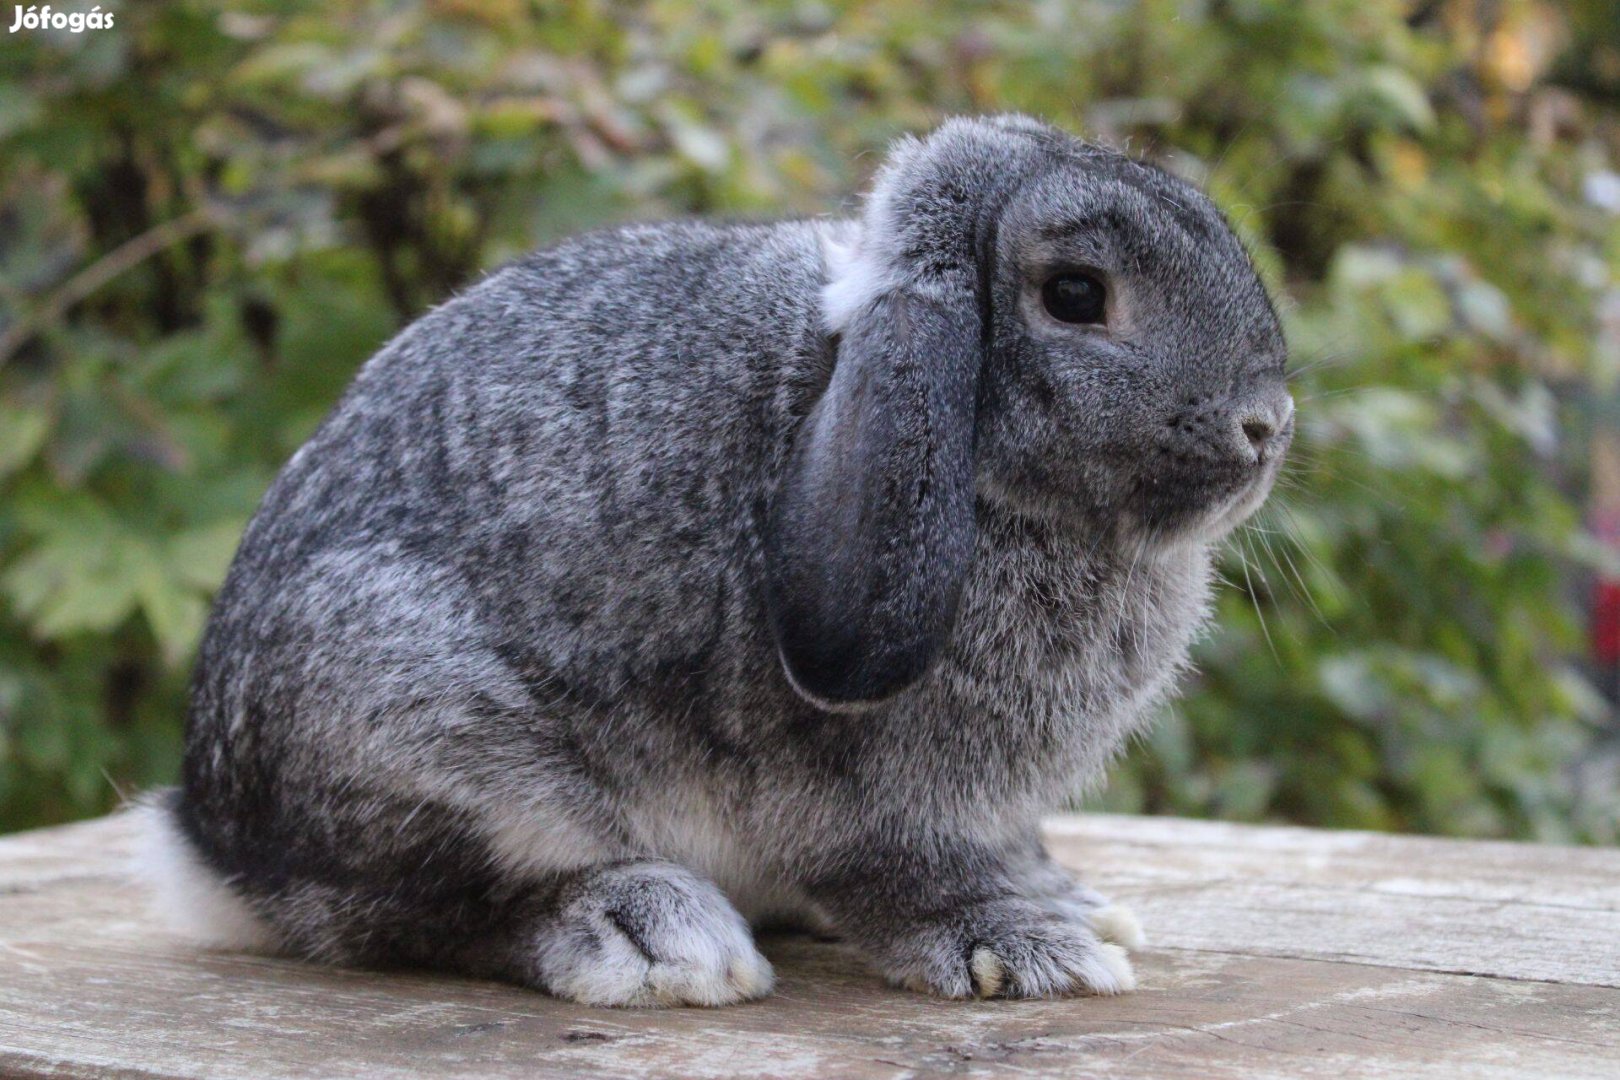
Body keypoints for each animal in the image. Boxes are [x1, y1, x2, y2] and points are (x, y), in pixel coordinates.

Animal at [149, 114, 1289, 1010]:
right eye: (1077, 295)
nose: (1267, 425)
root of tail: (211, 838)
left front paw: (1073, 906)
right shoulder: (881, 804)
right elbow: (908, 874)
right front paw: (1026, 946)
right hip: (424, 724)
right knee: (422, 911)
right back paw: (651, 935)